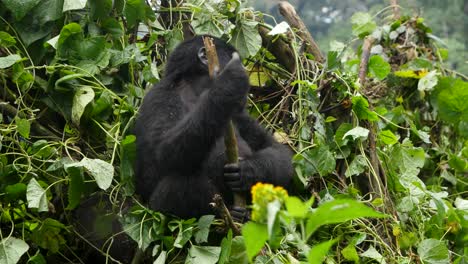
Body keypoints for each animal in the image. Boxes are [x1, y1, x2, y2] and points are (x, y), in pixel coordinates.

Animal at [133, 36, 292, 220]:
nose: (246, 73)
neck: (195, 89)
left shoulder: (239, 113)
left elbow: (277, 150)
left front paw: (249, 170)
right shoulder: (159, 96)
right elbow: (161, 156)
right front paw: (229, 82)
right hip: (156, 211)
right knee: (182, 183)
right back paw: (226, 214)